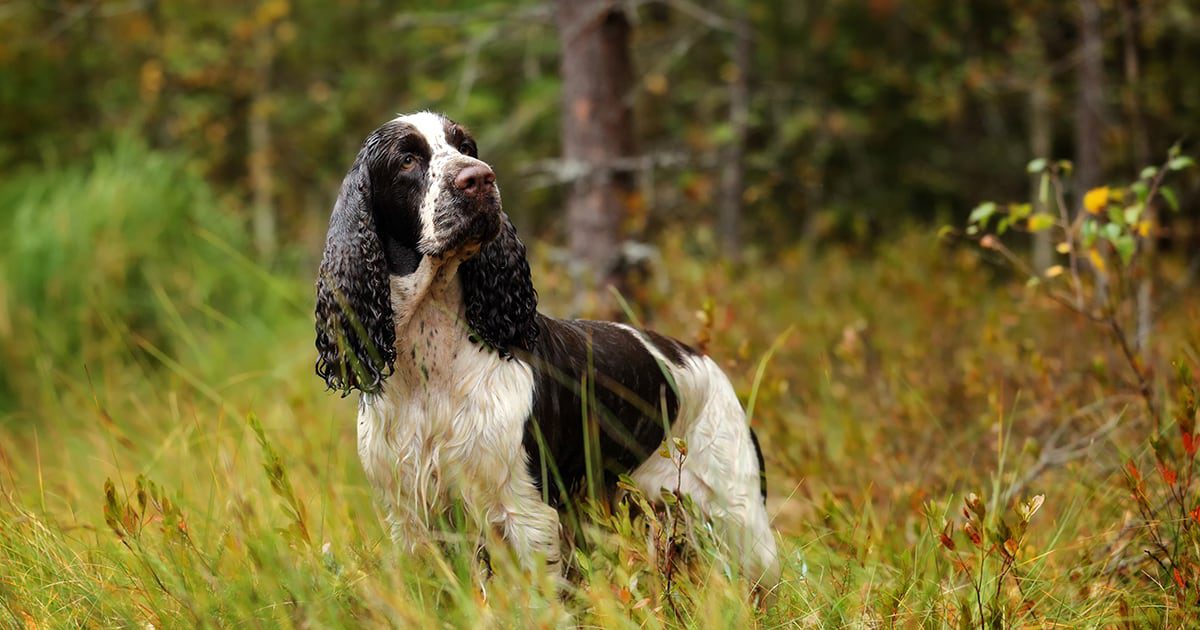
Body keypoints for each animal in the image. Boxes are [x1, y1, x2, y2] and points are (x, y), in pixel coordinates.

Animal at [314, 110, 777, 588]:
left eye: (467, 147)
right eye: (407, 159)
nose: (479, 178)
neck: (433, 366)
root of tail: (701, 359)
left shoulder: (526, 512)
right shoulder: (409, 518)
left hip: (741, 519)